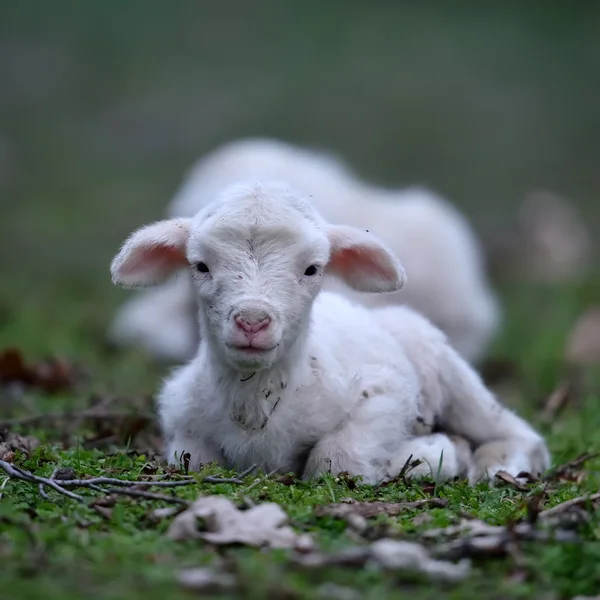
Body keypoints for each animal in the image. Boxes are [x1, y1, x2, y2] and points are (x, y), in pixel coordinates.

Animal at [109, 180, 548, 486]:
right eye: (200, 266)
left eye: (312, 269)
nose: (252, 320)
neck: (257, 406)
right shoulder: (180, 417)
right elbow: (196, 460)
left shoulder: (385, 394)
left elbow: (337, 460)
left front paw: (430, 453)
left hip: (448, 372)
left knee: (516, 433)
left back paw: (496, 465)